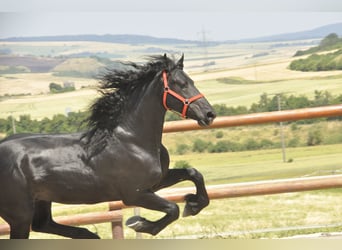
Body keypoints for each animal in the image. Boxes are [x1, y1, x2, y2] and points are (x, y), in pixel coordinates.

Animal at [0, 54, 215, 238]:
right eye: (181, 84)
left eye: (192, 82)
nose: (209, 114)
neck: (133, 140)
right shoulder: (135, 194)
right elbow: (173, 209)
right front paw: (140, 223)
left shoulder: (156, 182)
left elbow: (194, 173)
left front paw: (193, 204)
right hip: (20, 215)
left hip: (42, 200)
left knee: (43, 224)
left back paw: (89, 235)